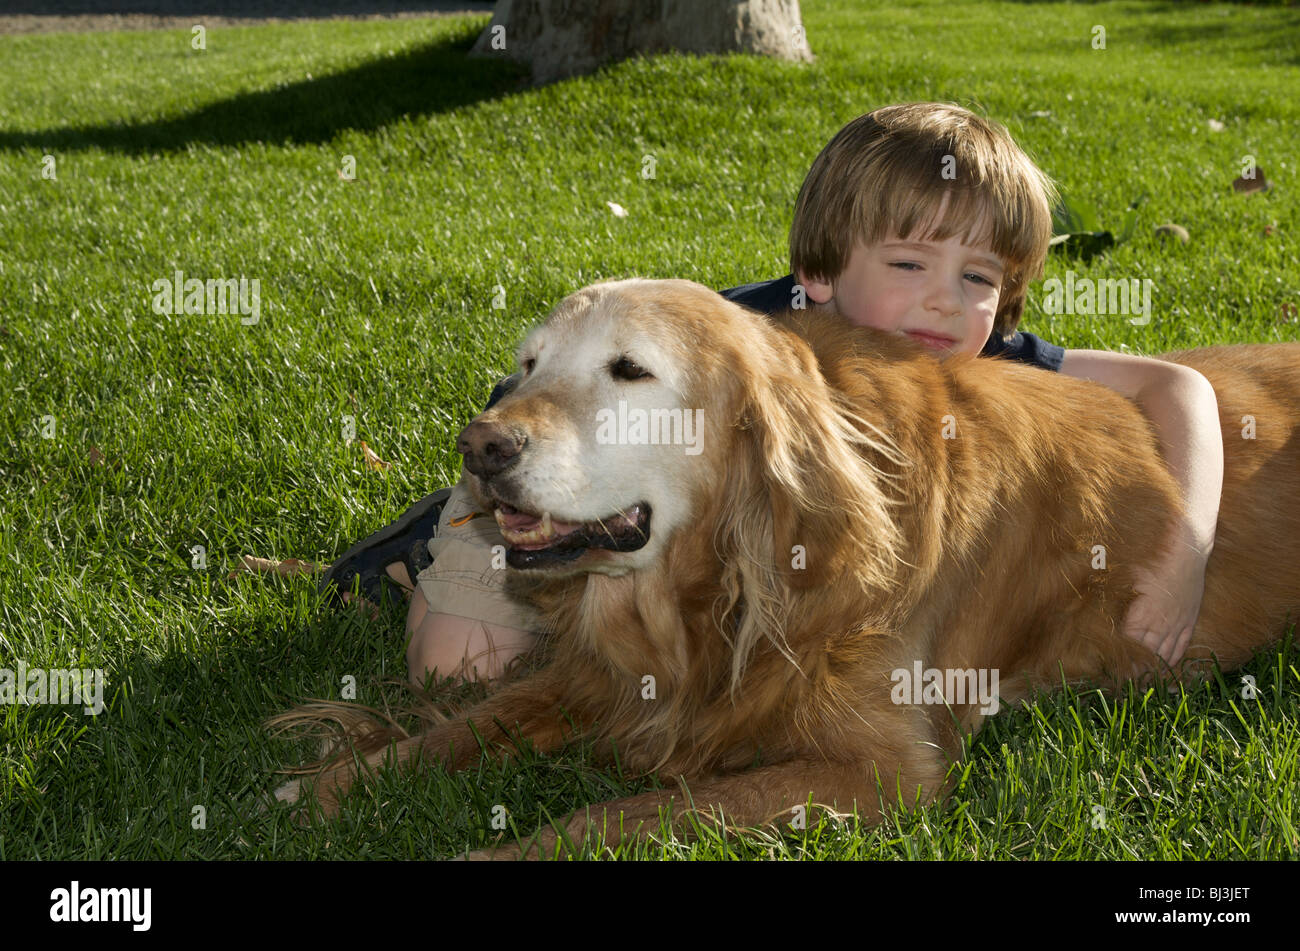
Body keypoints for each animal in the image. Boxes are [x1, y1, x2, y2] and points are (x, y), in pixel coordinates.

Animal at [271, 278, 1300, 857]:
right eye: (525, 365)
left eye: (630, 370)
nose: (480, 447)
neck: (730, 581)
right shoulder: (596, 676)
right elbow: (462, 726)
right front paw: (328, 784)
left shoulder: (885, 772)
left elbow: (620, 815)